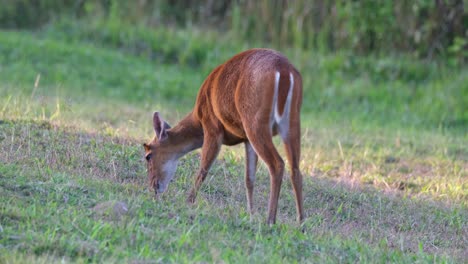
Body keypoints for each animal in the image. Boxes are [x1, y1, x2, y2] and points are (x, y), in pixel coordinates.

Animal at [143, 48, 304, 224]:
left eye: (148, 155)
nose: (154, 187)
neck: (198, 119)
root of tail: (284, 70)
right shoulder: (246, 139)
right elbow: (249, 178)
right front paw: (251, 214)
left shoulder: (212, 126)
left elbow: (204, 168)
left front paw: (188, 201)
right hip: (292, 122)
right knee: (295, 169)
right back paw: (301, 221)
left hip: (255, 122)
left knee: (277, 164)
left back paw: (270, 220)